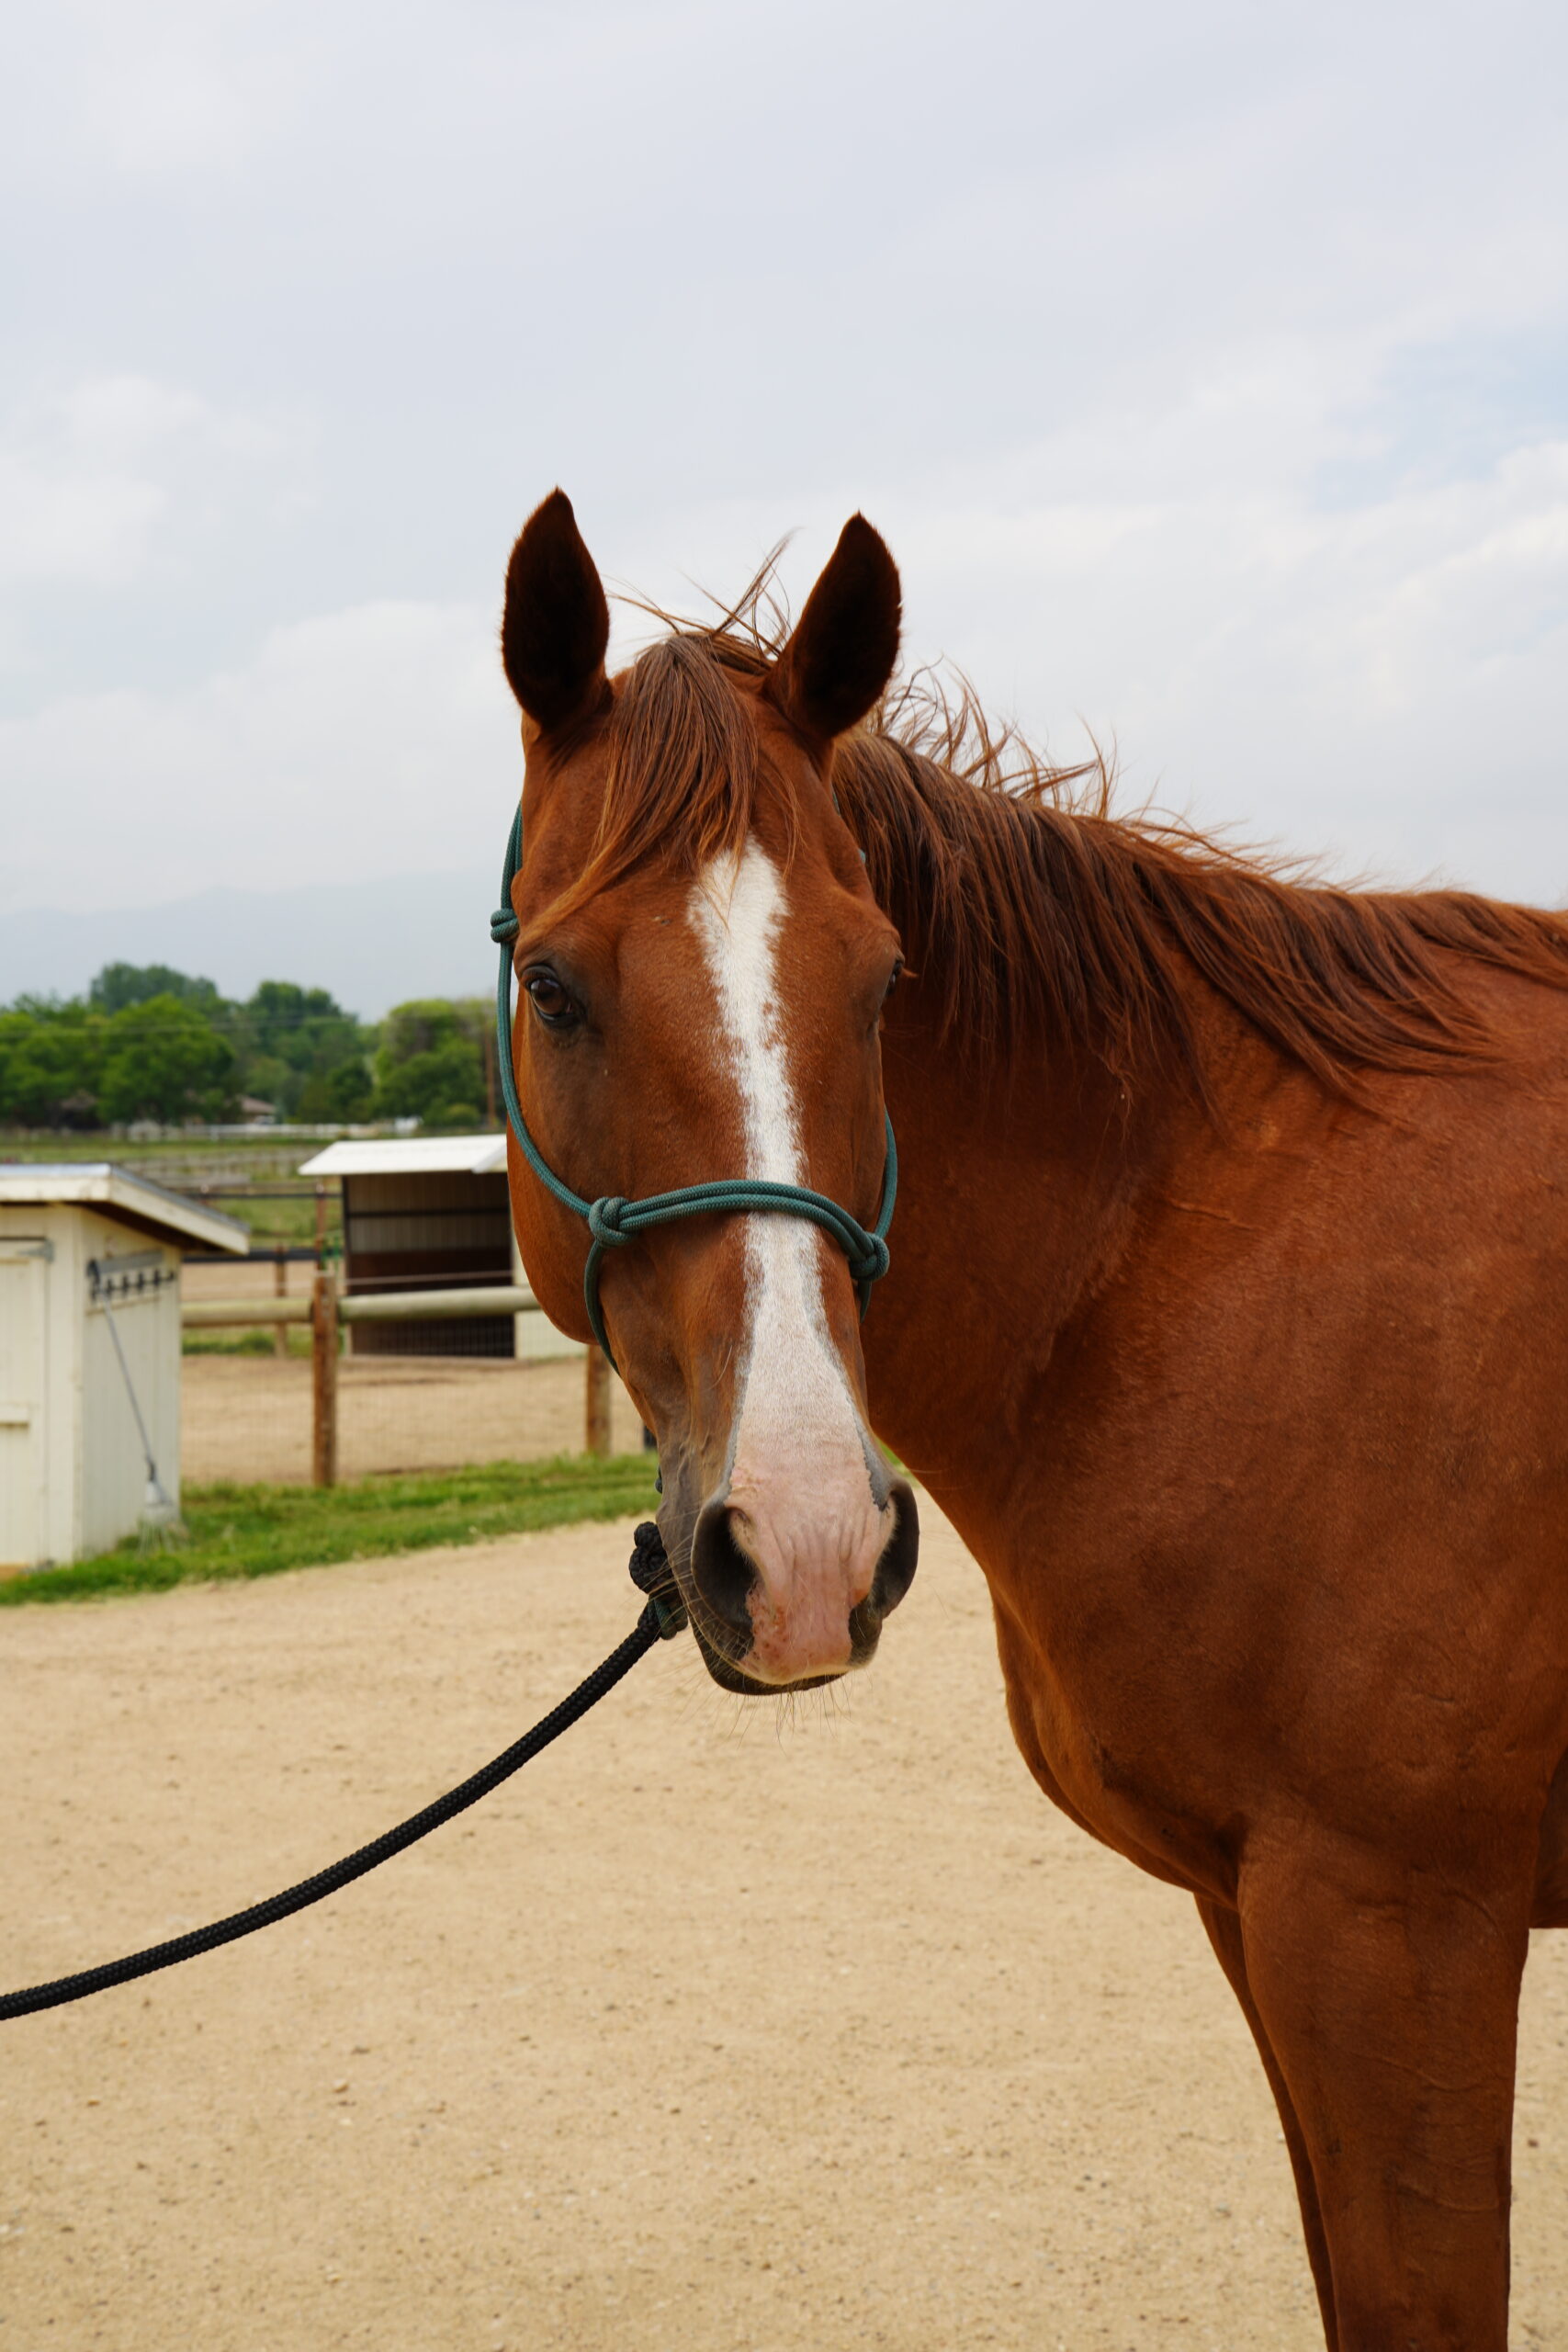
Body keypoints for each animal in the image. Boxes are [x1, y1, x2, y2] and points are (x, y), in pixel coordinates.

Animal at [495, 488, 1568, 2349]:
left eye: (878, 985)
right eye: (553, 987)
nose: (803, 1547)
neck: (1194, 1252)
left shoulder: (1394, 1921)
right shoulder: (1258, 1914)